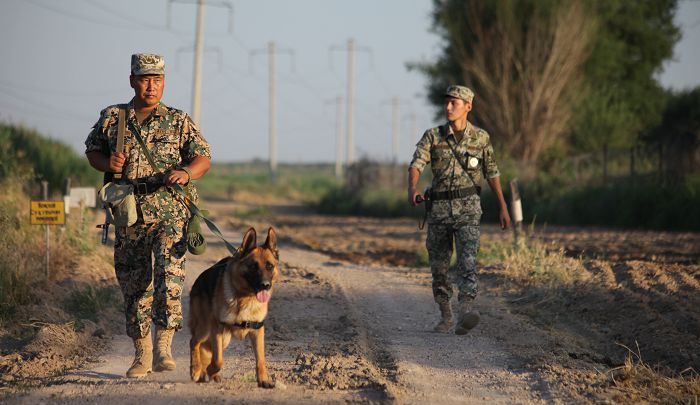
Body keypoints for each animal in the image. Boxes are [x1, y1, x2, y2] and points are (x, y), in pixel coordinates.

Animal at [191, 226, 282, 386]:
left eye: (270, 266)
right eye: (253, 267)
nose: (265, 285)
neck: (246, 298)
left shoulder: (257, 330)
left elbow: (261, 359)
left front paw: (263, 380)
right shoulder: (217, 328)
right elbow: (218, 360)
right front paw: (210, 370)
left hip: (223, 338)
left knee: (205, 347)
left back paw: (207, 374)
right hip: (205, 328)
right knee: (194, 342)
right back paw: (196, 370)